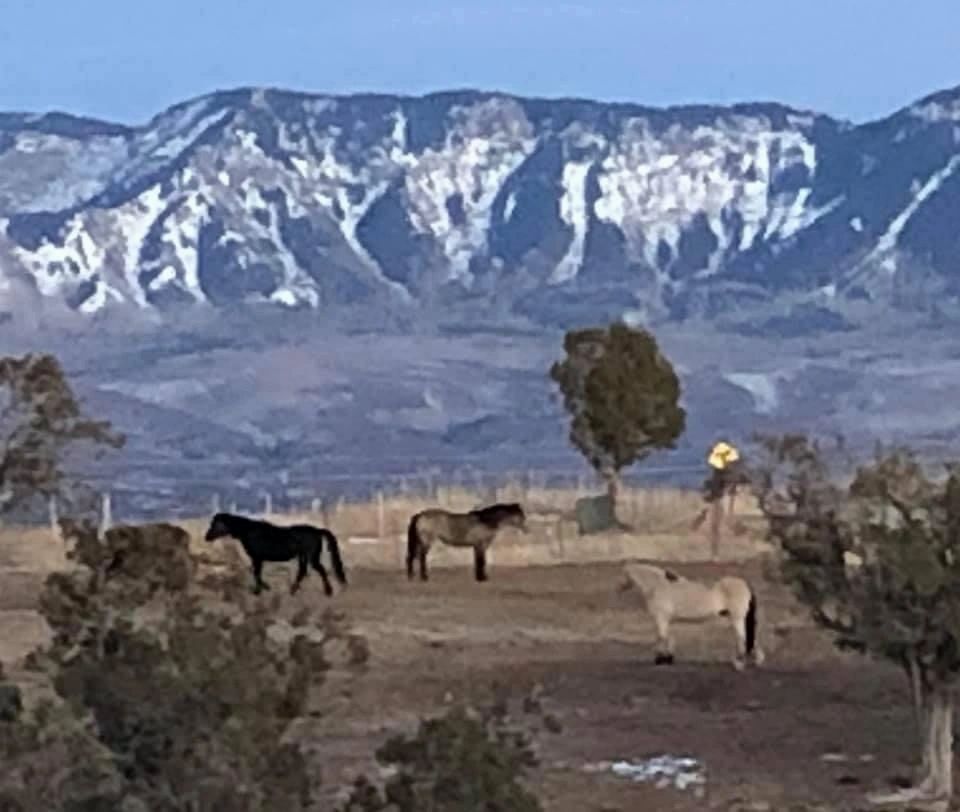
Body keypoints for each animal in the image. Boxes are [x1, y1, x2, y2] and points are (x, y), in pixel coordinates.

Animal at [204, 512, 346, 596]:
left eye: (215, 524)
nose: (206, 537)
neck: (248, 531)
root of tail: (317, 530)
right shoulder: (257, 558)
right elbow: (256, 573)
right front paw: (264, 587)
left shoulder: (257, 557)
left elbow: (256, 573)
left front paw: (259, 590)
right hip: (303, 556)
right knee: (302, 571)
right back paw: (293, 590)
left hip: (312, 556)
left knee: (320, 570)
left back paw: (328, 591)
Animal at [616, 560, 764, 668]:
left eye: (623, 574)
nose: (618, 588)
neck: (658, 586)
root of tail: (744, 584)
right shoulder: (668, 620)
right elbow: (669, 637)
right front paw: (668, 658)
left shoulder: (661, 618)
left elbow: (661, 637)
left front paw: (661, 659)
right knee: (749, 638)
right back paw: (755, 660)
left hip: (737, 618)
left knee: (742, 638)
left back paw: (739, 663)